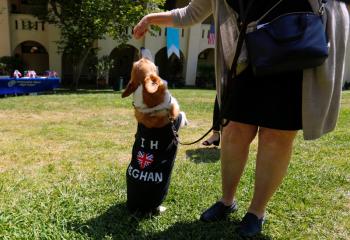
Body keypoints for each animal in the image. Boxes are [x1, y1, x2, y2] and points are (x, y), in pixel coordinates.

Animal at [123, 48, 189, 214]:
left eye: (139, 61)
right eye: (145, 61)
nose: (140, 48)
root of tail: (137, 208)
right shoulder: (176, 118)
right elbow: (181, 113)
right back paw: (162, 208)